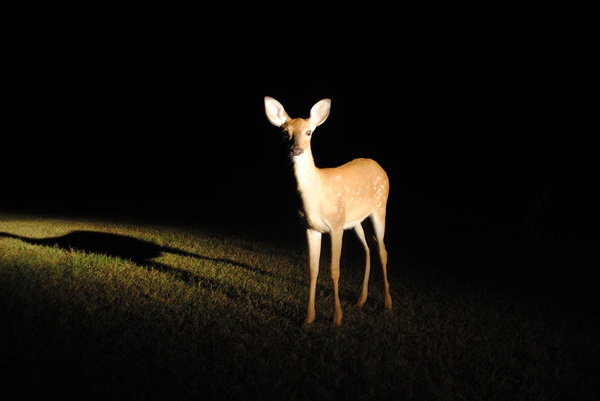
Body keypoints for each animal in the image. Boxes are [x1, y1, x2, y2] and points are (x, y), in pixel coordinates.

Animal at [264, 95, 392, 326]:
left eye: (309, 132)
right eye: (285, 133)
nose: (296, 150)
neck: (315, 196)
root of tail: (378, 166)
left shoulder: (336, 224)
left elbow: (334, 269)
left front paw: (337, 318)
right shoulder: (311, 227)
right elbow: (313, 269)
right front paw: (308, 318)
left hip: (380, 207)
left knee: (382, 249)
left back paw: (387, 304)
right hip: (357, 220)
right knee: (368, 248)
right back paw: (361, 300)